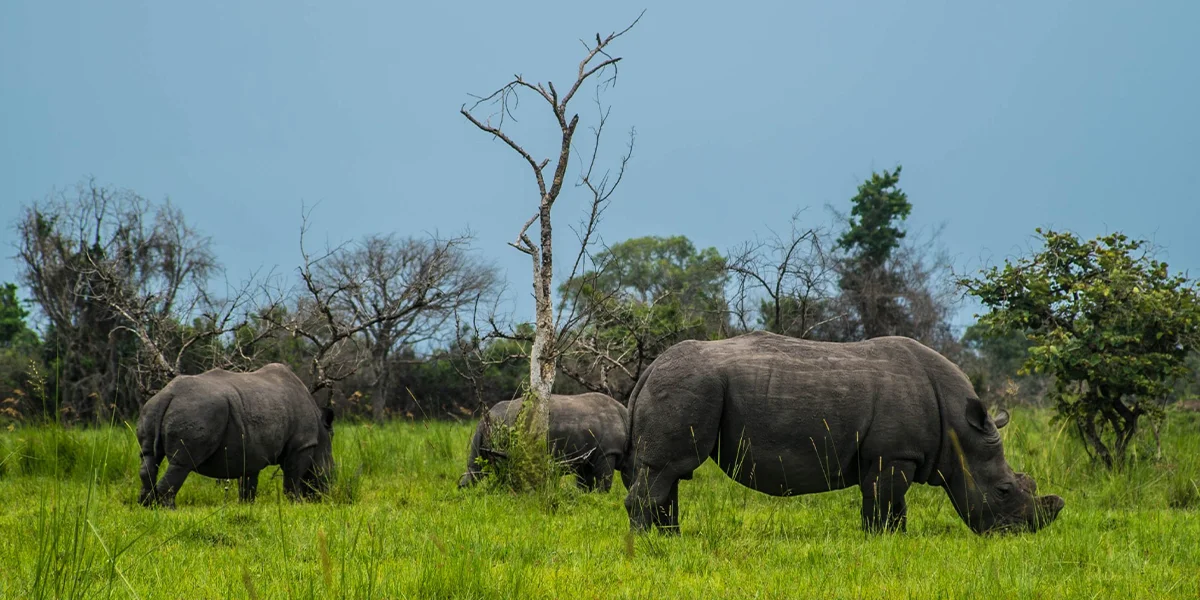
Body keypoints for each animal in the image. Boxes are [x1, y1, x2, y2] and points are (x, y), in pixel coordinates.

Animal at [136, 363, 335, 508]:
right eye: (331, 471)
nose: (328, 494)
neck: (321, 432)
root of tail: (168, 395)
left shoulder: (252, 449)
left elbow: (248, 480)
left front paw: (247, 505)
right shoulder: (303, 444)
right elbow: (293, 476)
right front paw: (297, 504)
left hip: (152, 409)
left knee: (149, 456)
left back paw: (146, 506)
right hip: (197, 411)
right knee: (182, 463)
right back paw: (169, 509)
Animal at [459, 392, 629, 492]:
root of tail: (487, 416)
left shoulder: (587, 455)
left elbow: (584, 484)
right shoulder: (607, 452)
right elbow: (604, 483)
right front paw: (602, 498)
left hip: (490, 427)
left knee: (476, 467)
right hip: (507, 426)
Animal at [623, 331, 1064, 535]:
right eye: (1004, 490)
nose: (1022, 534)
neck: (958, 428)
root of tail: (649, 369)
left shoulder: (890, 455)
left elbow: (890, 504)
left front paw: (892, 540)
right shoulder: (895, 454)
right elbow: (884, 501)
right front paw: (882, 540)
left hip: (686, 387)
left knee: (670, 473)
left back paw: (671, 539)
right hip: (690, 386)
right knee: (667, 468)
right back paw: (650, 545)